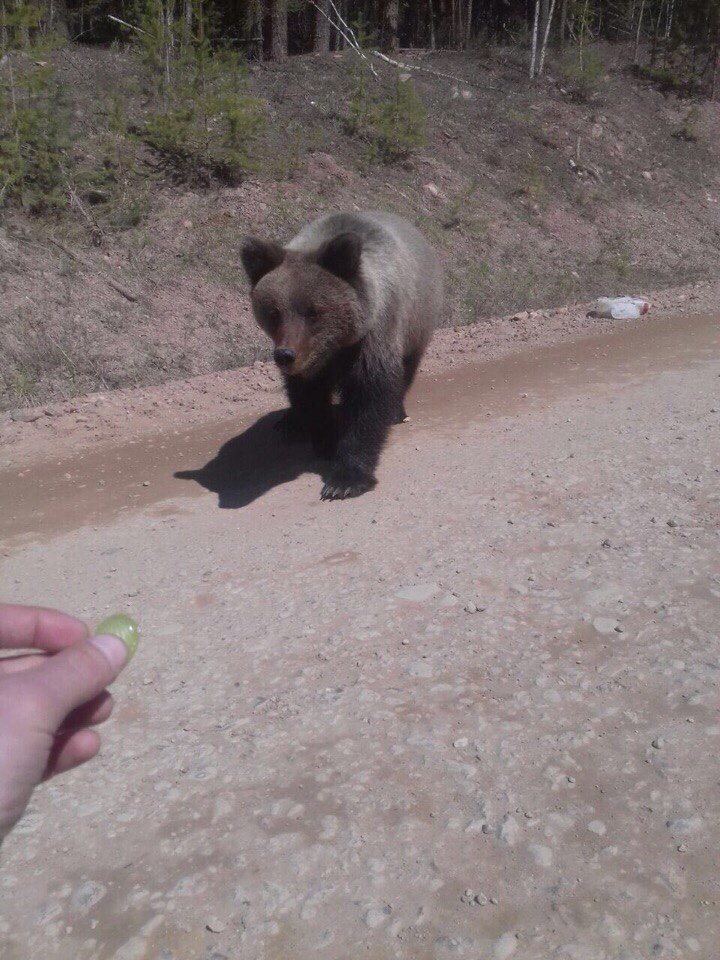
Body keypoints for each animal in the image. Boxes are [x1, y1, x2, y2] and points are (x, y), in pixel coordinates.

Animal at [242, 212, 442, 502]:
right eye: (274, 312)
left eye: (313, 311)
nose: (285, 355)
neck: (335, 347)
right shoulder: (311, 362)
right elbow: (309, 396)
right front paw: (325, 440)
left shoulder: (372, 338)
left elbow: (368, 400)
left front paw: (345, 480)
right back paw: (289, 423)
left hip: (417, 322)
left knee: (406, 370)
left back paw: (396, 411)